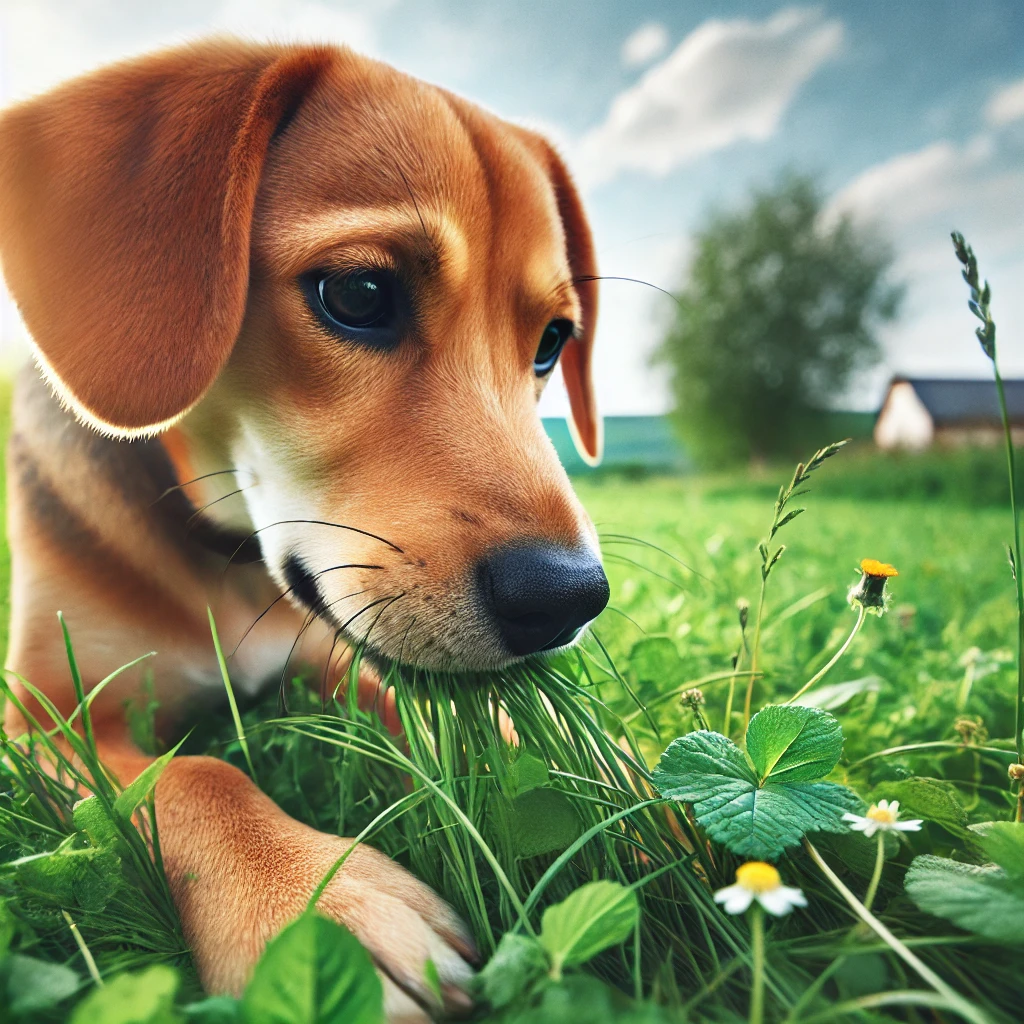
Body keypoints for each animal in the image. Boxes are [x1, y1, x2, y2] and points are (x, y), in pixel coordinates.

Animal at [0, 39, 606, 1024]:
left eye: (552, 341)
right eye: (357, 292)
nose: (568, 598)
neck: (226, 563)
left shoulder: (336, 656)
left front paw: (633, 795)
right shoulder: (44, 719)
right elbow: (192, 775)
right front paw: (309, 901)